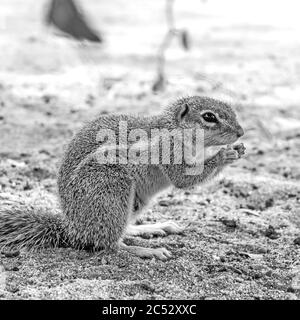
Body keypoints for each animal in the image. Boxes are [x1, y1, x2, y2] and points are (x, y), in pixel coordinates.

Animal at [0, 95, 244, 260]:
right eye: (209, 116)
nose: (241, 133)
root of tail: (73, 228)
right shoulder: (167, 149)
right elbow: (183, 179)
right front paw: (224, 155)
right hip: (111, 187)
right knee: (109, 244)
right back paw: (145, 250)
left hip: (135, 200)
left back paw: (151, 228)